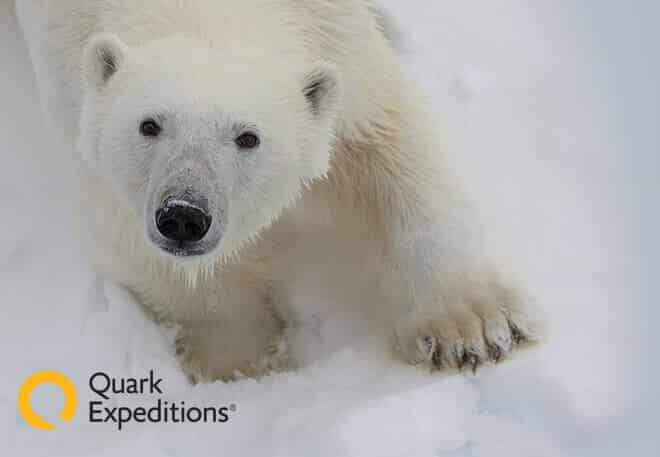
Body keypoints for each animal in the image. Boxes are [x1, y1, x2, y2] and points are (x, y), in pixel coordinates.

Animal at [15, 0, 542, 382]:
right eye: (149, 125)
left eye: (248, 136)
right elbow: (131, 243)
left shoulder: (340, 41)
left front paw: (472, 330)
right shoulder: (75, 107)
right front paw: (235, 361)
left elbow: (394, 148)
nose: (184, 215)